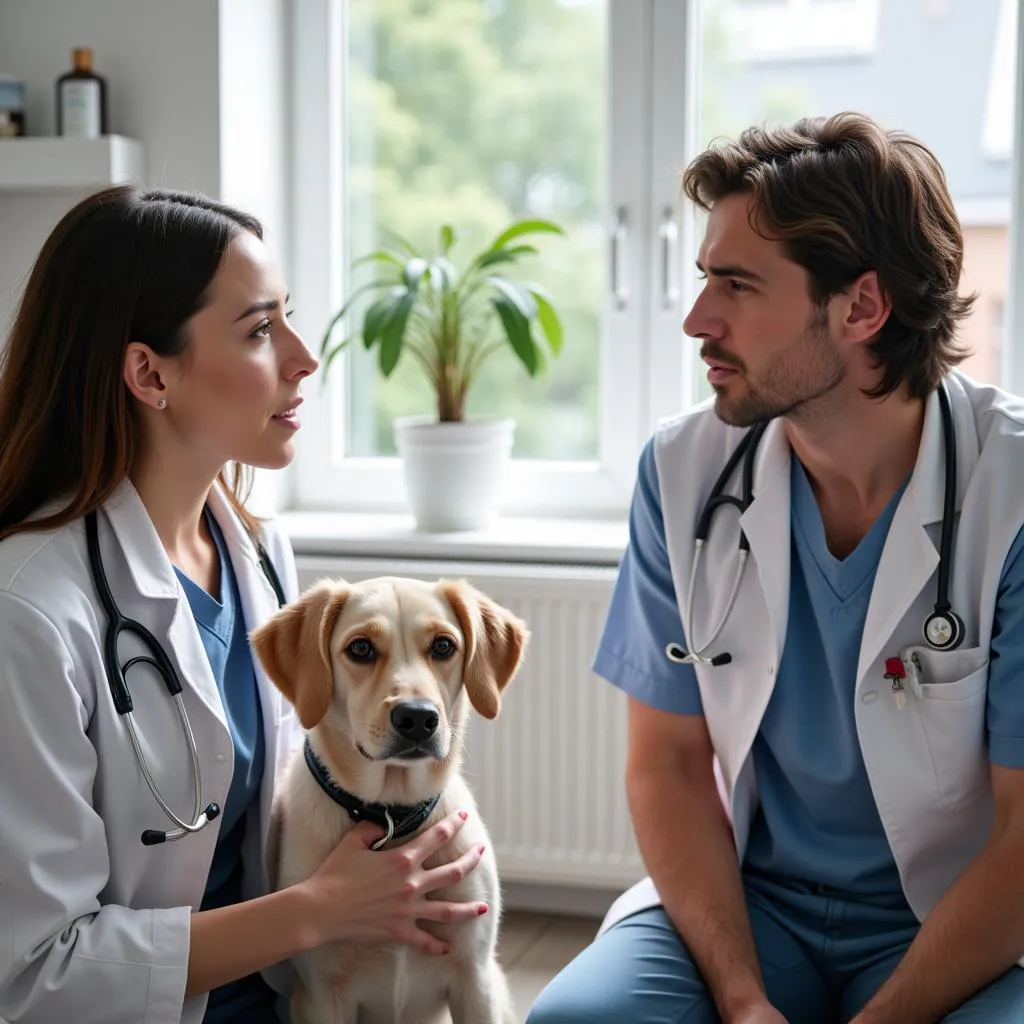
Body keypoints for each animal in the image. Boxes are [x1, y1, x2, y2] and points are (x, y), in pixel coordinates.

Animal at [249, 577, 528, 1024]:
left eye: (444, 646)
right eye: (361, 648)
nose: (417, 717)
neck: (392, 812)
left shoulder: (476, 980)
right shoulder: (320, 995)